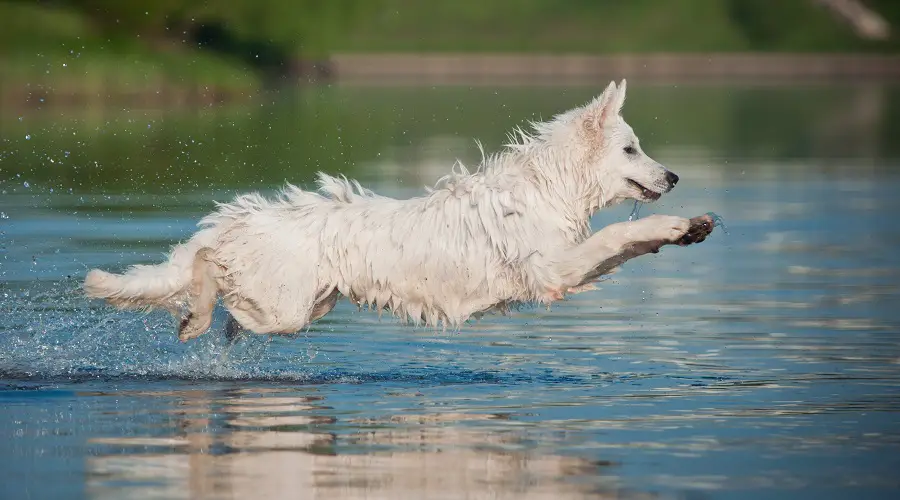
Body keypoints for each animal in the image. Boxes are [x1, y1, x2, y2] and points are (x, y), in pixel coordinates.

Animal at [84, 80, 716, 342]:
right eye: (631, 149)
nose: (673, 176)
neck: (548, 187)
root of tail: (238, 218)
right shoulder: (554, 271)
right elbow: (617, 239)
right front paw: (676, 223)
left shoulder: (570, 269)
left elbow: (629, 246)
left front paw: (689, 229)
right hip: (284, 307)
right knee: (208, 272)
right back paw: (193, 315)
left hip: (305, 304)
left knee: (227, 308)